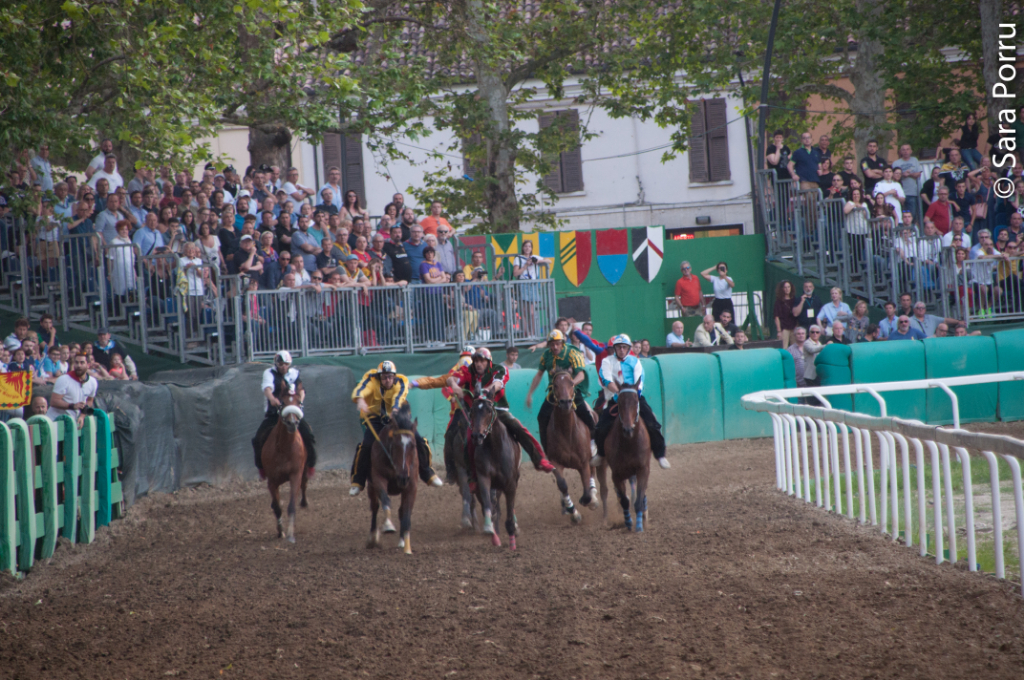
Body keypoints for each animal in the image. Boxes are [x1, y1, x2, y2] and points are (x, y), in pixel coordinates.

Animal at [262, 376, 305, 540]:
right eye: (283, 403)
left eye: (299, 402)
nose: (292, 423)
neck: (285, 449)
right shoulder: (272, 481)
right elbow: (277, 506)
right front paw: (281, 530)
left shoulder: (295, 475)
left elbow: (291, 505)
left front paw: (291, 534)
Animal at [366, 403, 417, 553]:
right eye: (395, 444)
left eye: (413, 445)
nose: (403, 477)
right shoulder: (378, 479)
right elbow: (385, 500)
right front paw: (388, 525)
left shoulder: (412, 486)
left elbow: (406, 513)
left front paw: (407, 546)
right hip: (371, 487)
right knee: (375, 507)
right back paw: (373, 538)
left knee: (401, 511)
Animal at [468, 395, 520, 548]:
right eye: (472, 411)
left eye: (489, 411)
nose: (477, 436)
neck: (495, 447)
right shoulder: (483, 477)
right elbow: (488, 505)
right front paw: (490, 530)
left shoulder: (510, 484)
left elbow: (509, 513)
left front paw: (512, 540)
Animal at [544, 368, 598, 522]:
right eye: (555, 385)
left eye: (572, 384)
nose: (566, 402)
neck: (567, 431)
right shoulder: (555, 461)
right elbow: (562, 485)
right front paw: (573, 512)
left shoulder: (584, 462)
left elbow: (586, 492)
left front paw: (590, 499)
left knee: (592, 472)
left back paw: (594, 497)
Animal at [598, 385, 651, 532]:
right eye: (620, 403)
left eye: (636, 401)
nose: (628, 429)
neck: (629, 443)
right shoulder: (616, 474)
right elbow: (624, 500)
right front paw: (628, 522)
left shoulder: (643, 469)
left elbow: (638, 499)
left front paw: (639, 525)